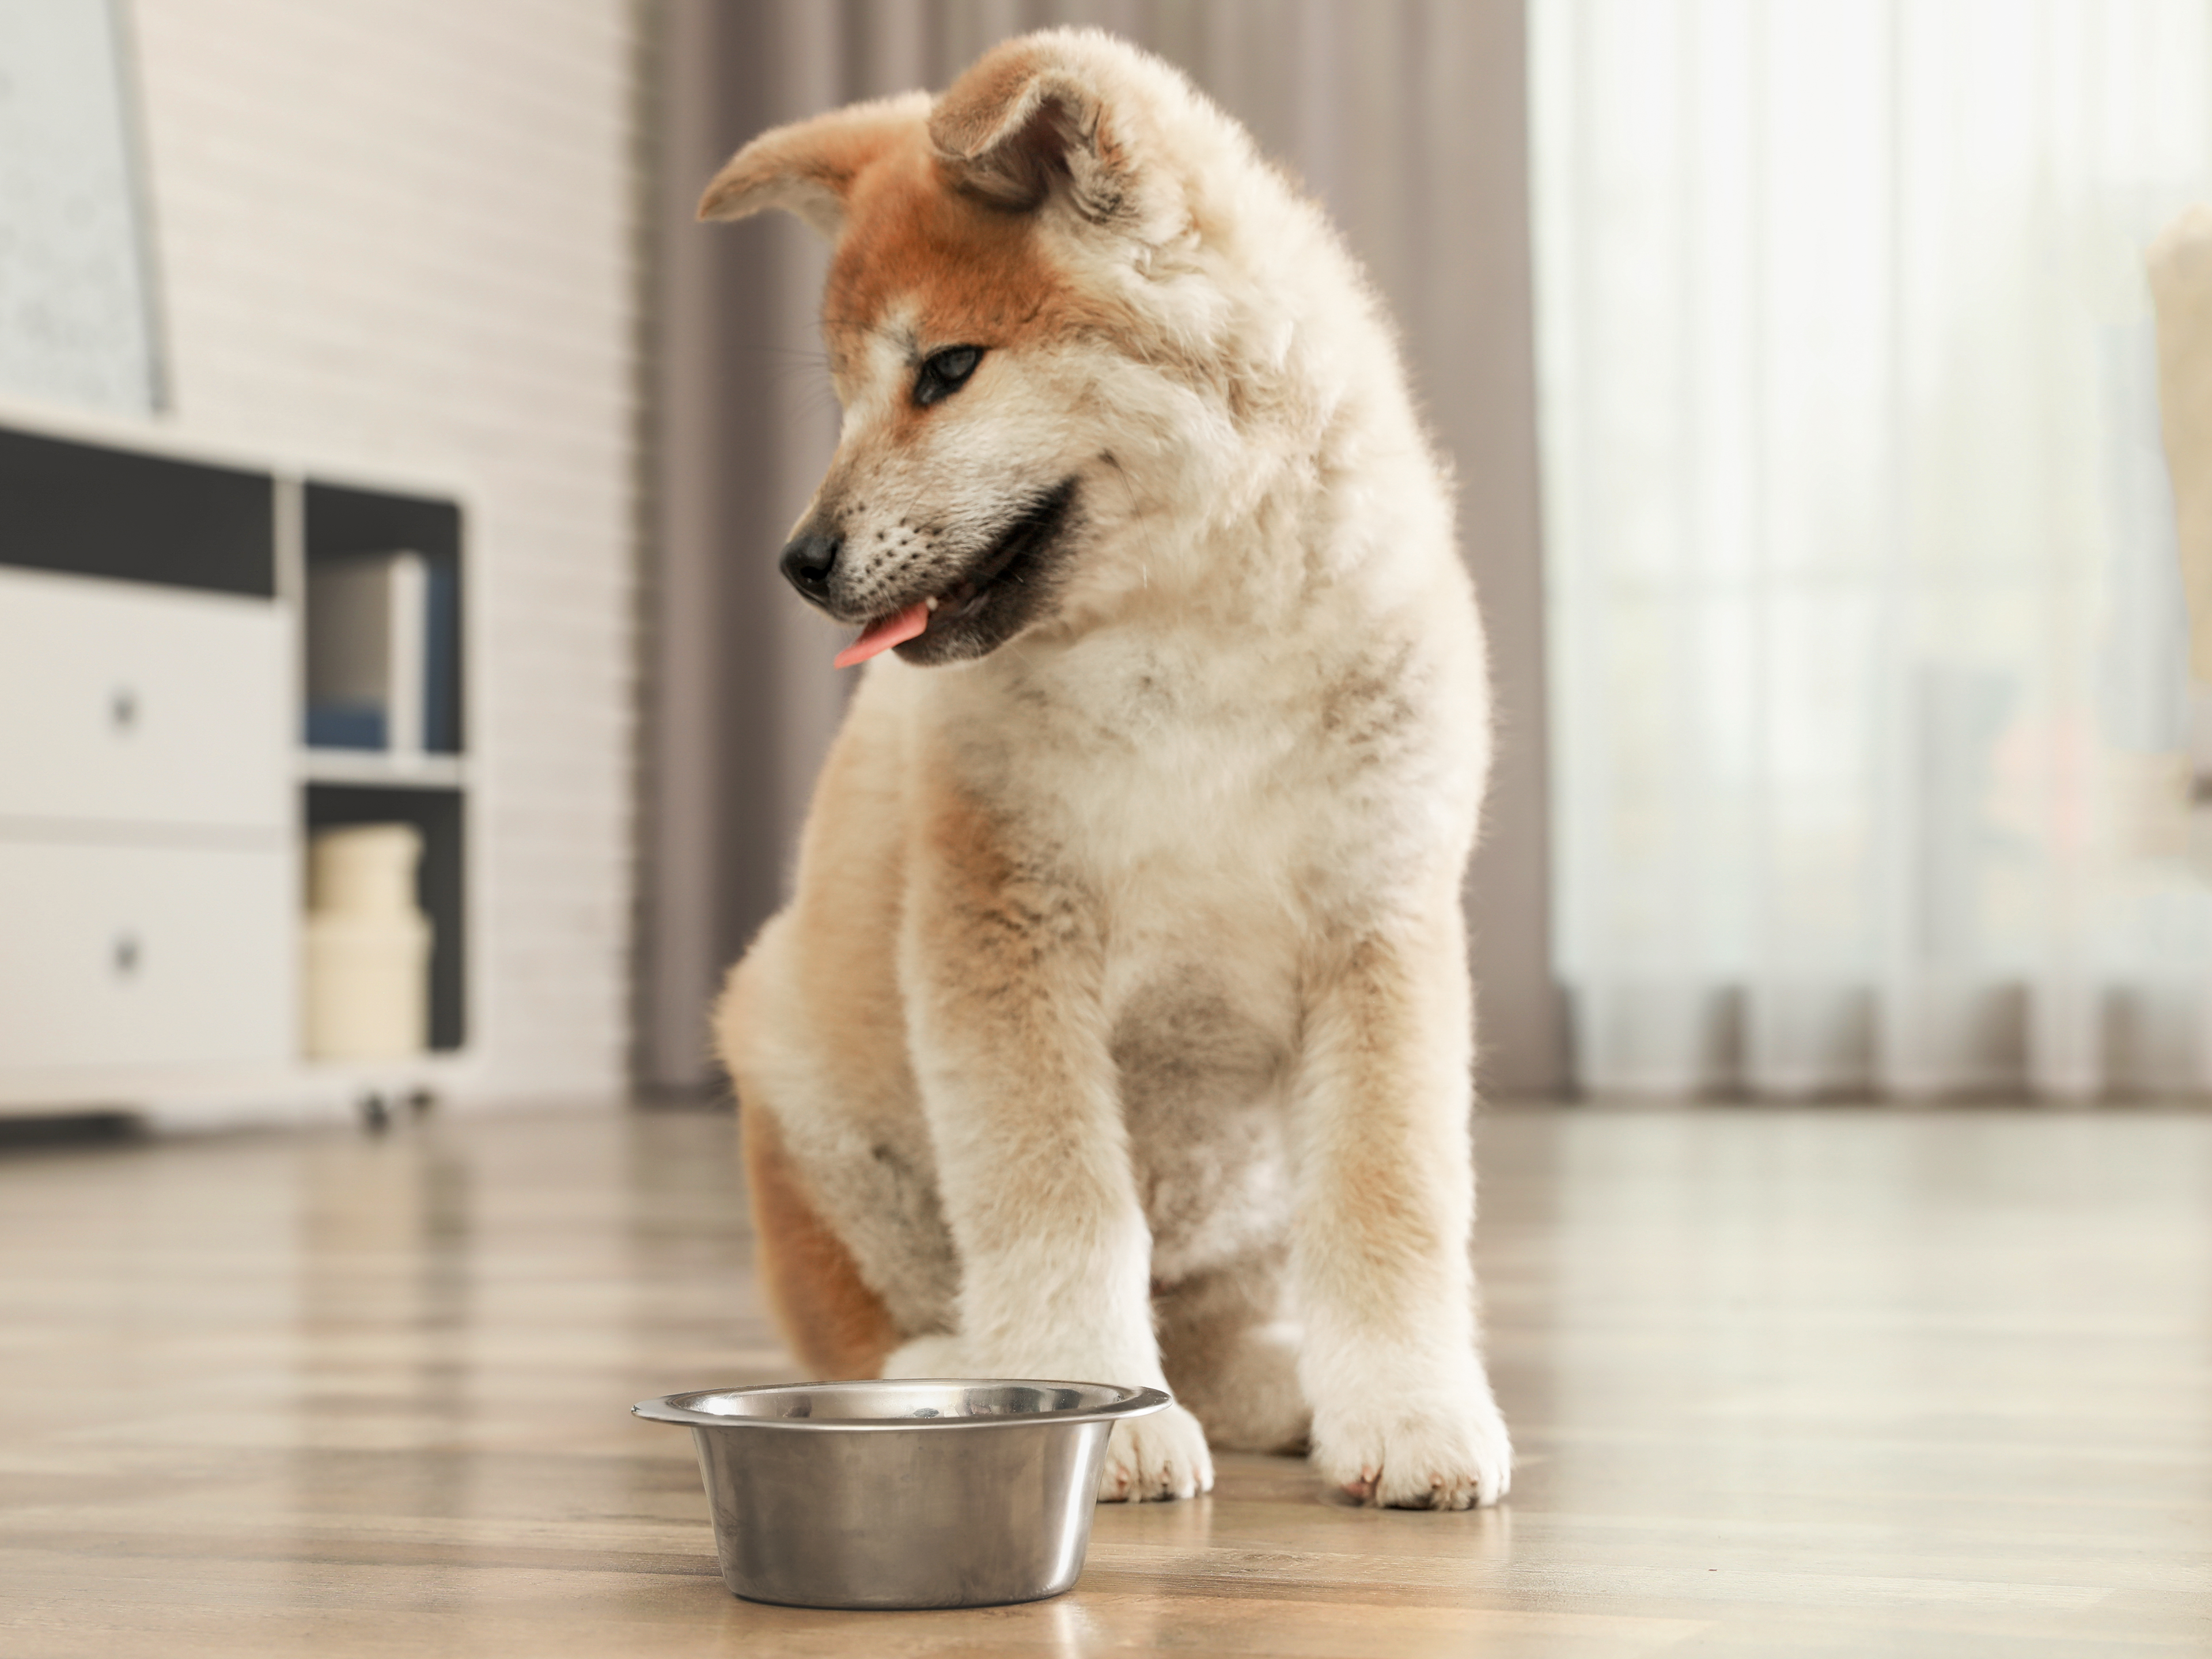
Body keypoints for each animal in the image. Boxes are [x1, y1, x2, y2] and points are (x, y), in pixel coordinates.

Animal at [707, 26, 1521, 1513]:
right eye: (844, 396)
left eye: (944, 371)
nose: (799, 561)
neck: (1183, 637)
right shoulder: (1005, 924)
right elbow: (1058, 1200)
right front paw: (1093, 1406)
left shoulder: (1379, 926)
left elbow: (1391, 1202)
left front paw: (1409, 1412)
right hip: (798, 1070)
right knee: (863, 1323)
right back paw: (944, 1371)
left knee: (1209, 1314)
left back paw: (1275, 1384)